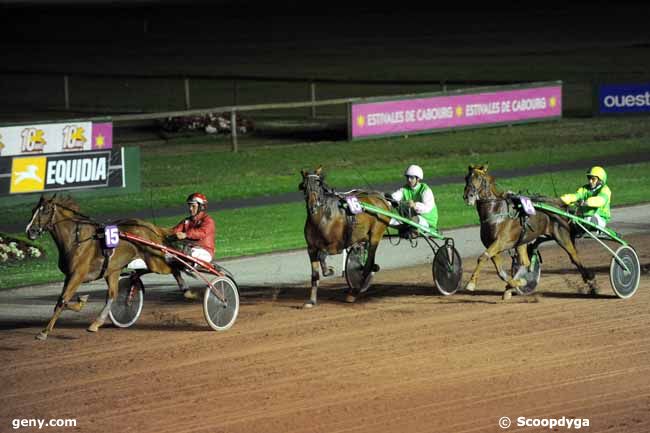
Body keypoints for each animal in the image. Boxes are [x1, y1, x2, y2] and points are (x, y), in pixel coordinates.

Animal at [24, 194, 185, 340]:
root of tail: (150, 226)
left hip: (155, 261)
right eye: (33, 210)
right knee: (114, 292)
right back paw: (96, 322)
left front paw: (44, 332)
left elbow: (62, 300)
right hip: (114, 270)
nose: (30, 231)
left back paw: (186, 290)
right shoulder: (69, 275)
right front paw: (81, 302)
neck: (76, 239)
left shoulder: (78, 275)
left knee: (174, 267)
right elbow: (61, 301)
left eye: (45, 211)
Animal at [298, 166, 390, 308]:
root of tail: (380, 197)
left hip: (376, 235)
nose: (312, 206)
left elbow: (322, 255)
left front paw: (329, 270)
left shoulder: (336, 246)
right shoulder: (311, 248)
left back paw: (354, 293)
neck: (322, 219)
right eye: (304, 186)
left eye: (318, 184)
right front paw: (311, 301)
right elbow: (314, 275)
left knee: (368, 264)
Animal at [458, 164, 596, 298]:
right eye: (466, 177)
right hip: (523, 242)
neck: (496, 212)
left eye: (478, 178)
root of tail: (560, 205)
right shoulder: (492, 246)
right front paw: (516, 284)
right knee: (525, 262)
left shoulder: (501, 242)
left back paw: (591, 282)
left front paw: (471, 283)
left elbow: (482, 258)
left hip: (562, 237)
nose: (468, 196)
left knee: (574, 257)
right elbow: (499, 271)